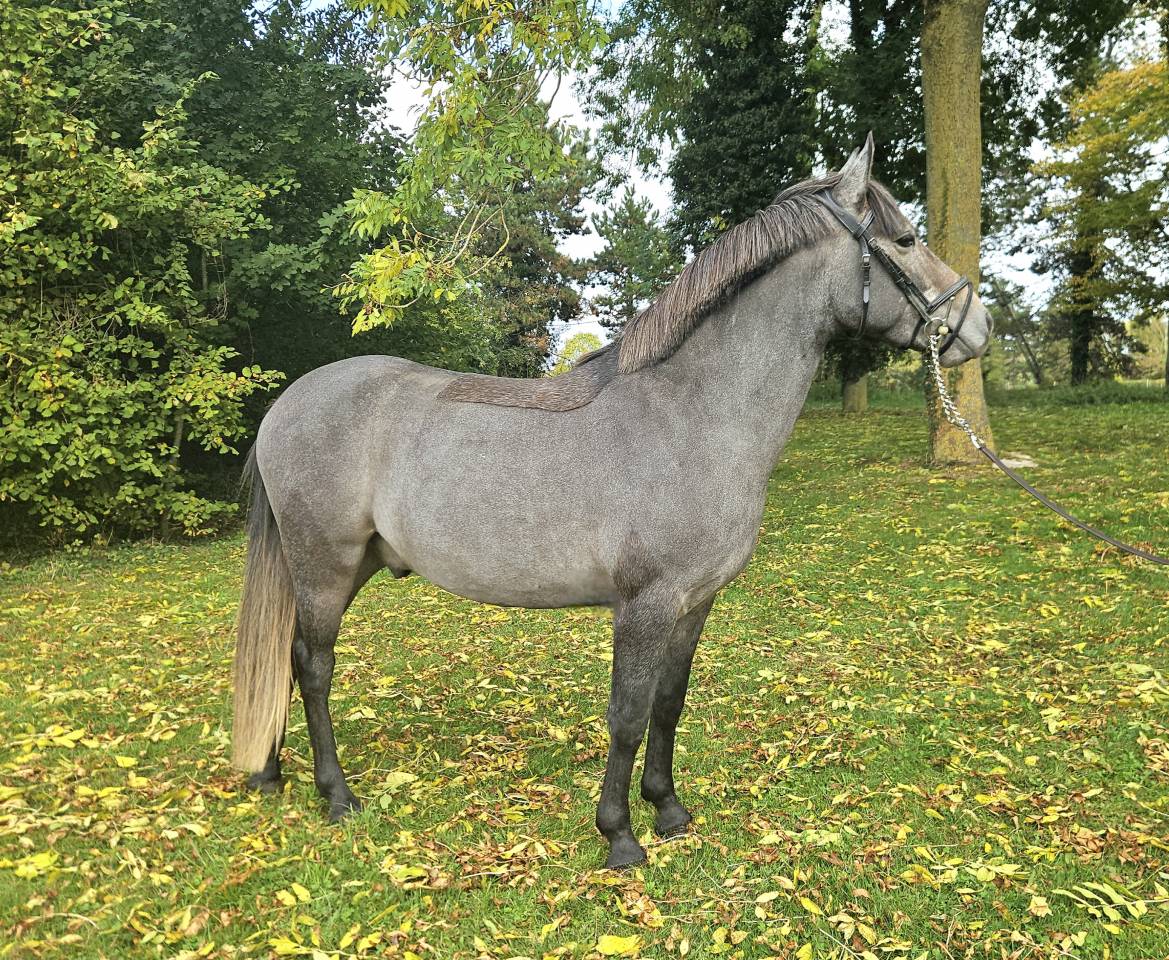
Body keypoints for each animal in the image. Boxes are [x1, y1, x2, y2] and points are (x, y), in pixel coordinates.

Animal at [231, 135, 993, 869]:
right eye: (904, 240)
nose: (976, 326)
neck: (689, 415)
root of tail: (289, 402)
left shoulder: (692, 604)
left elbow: (668, 704)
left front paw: (669, 809)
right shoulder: (643, 605)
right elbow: (626, 714)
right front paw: (620, 836)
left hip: (353, 563)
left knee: (286, 659)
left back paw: (270, 772)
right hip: (324, 566)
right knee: (312, 667)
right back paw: (335, 795)